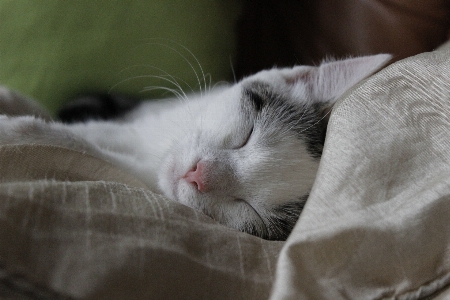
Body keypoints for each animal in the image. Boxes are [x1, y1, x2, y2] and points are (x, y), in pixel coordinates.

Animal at [0, 54, 390, 241]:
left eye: (251, 211)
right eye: (247, 134)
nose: (198, 175)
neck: (155, 148)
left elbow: (74, 140)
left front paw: (16, 130)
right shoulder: (141, 123)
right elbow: (92, 128)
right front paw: (12, 101)